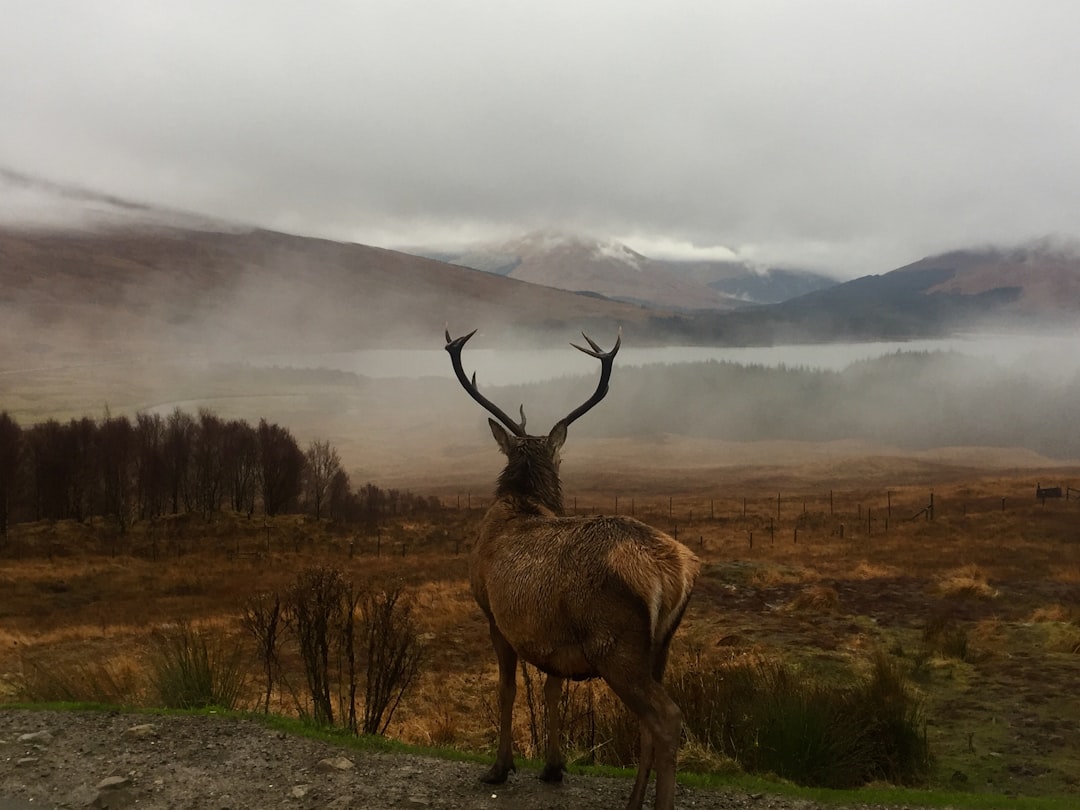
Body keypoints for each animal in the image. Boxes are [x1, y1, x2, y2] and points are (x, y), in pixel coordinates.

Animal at [444, 328, 699, 810]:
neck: (522, 503)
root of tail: (675, 574)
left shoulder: (493, 615)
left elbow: (507, 691)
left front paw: (499, 768)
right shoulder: (553, 637)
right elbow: (552, 690)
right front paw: (552, 767)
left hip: (615, 643)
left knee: (669, 717)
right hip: (660, 646)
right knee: (649, 724)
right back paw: (633, 802)